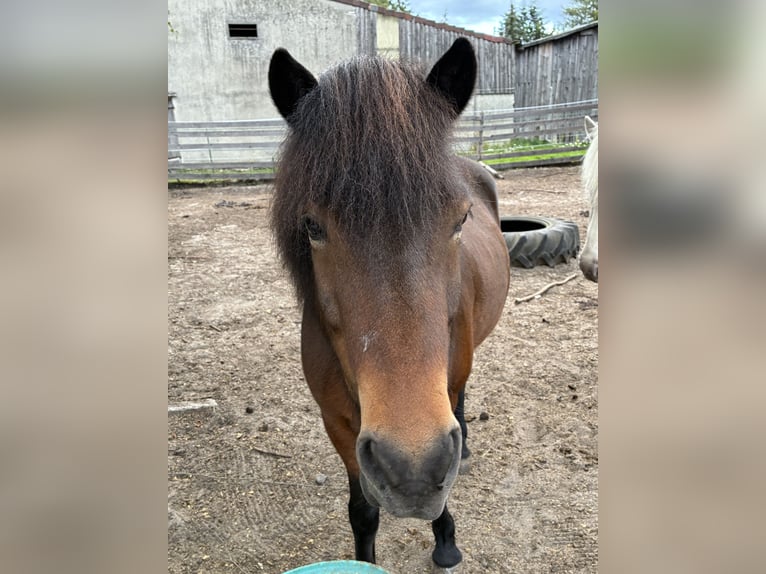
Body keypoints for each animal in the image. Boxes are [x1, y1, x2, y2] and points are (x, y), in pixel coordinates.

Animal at [268, 38, 510, 570]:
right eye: (312, 226)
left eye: (461, 219)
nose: (412, 466)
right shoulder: (339, 426)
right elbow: (362, 511)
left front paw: (446, 540)